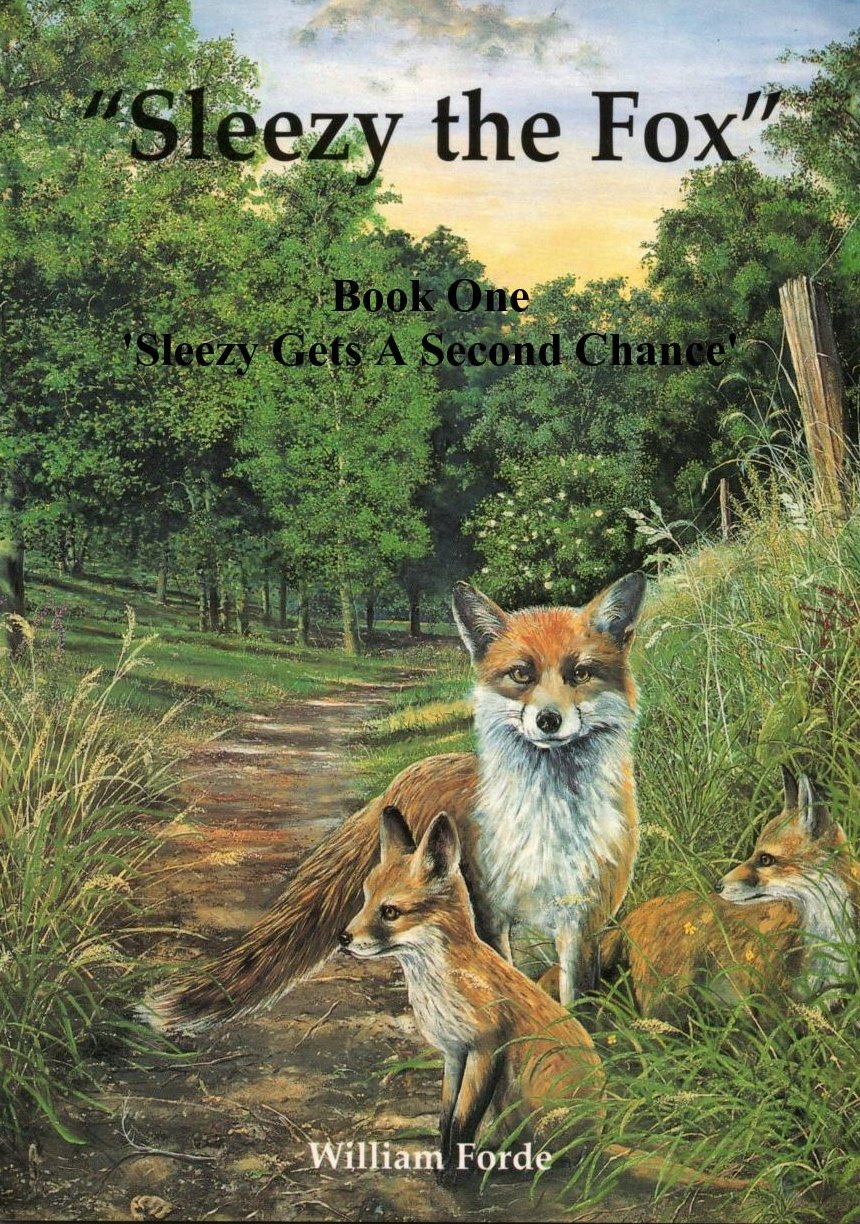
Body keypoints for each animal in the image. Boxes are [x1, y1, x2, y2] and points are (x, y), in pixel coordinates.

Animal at [144, 572, 645, 1031]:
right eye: (522, 674)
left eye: (580, 673)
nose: (548, 720)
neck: (547, 821)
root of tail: (410, 771)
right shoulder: (488, 915)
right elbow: (500, 983)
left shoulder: (584, 921)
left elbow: (575, 1001)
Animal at [340, 805, 749, 1192]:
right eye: (364, 899)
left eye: (390, 912)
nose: (344, 938)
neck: (442, 981)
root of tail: (596, 1136)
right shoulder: (454, 1053)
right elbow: (445, 1120)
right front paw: (443, 1166)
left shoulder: (486, 1047)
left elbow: (462, 1121)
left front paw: (455, 1176)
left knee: (553, 1159)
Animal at [596, 769, 860, 1019]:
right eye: (756, 853)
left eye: (766, 859)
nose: (717, 886)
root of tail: (631, 915)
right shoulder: (769, 1008)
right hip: (667, 1003)